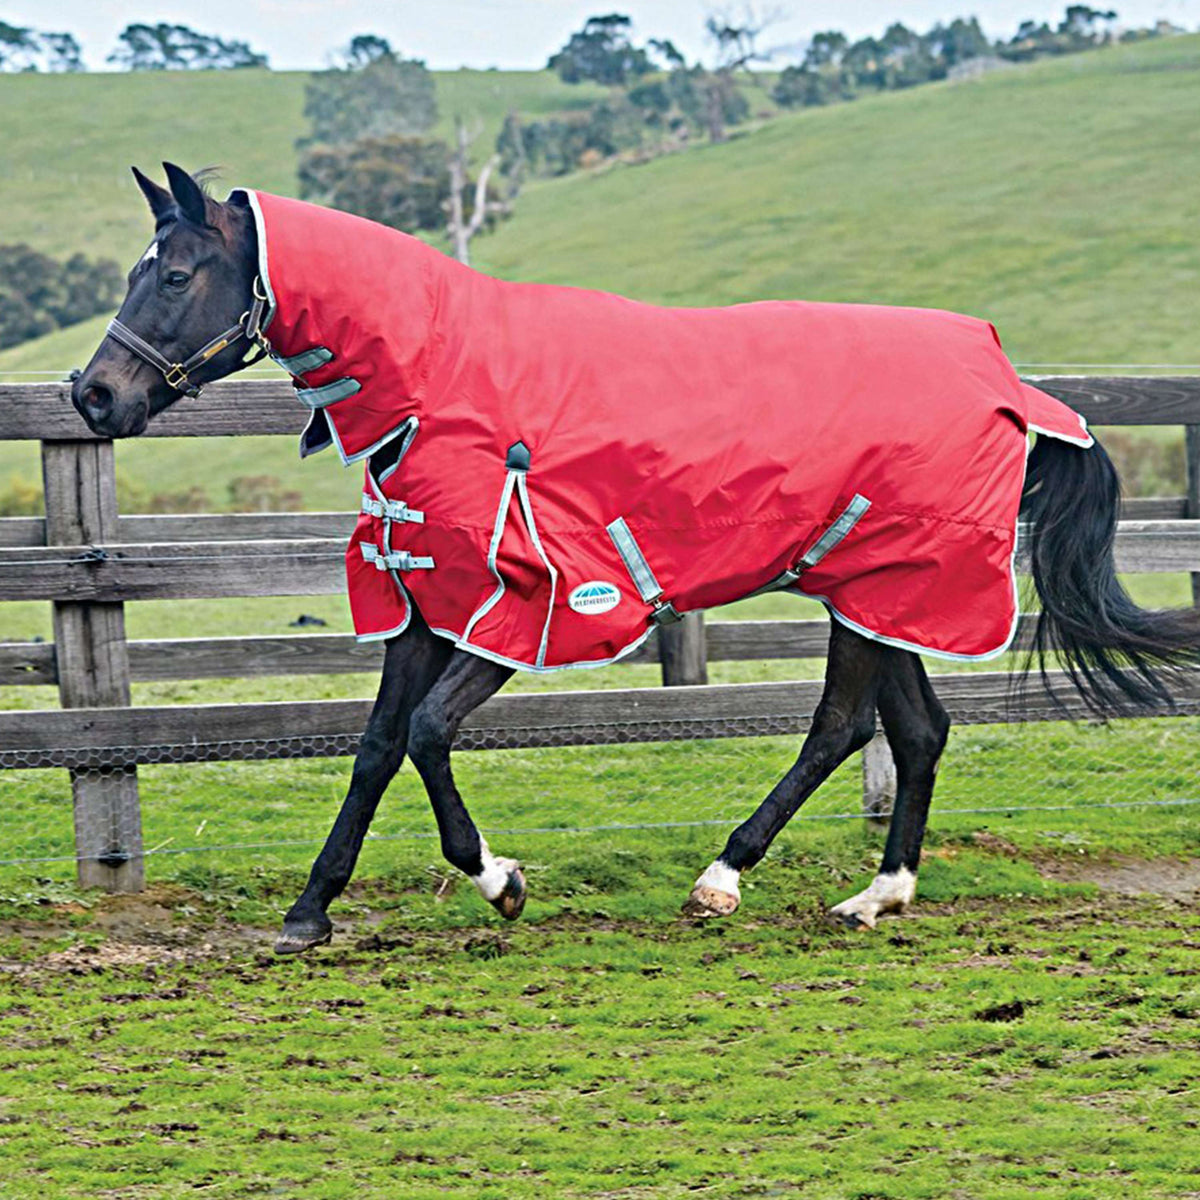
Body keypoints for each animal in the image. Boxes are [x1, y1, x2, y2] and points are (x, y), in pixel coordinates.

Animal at [68, 164, 1200, 950]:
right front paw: (311, 909)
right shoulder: (426, 600)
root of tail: (1009, 379)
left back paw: (725, 879)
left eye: (177, 273)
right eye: (134, 271)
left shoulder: (530, 606)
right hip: (876, 592)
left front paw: (501, 881)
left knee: (840, 729)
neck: (444, 378)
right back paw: (875, 895)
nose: (93, 396)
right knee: (916, 732)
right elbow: (378, 746)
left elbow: (430, 734)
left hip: (883, 591)